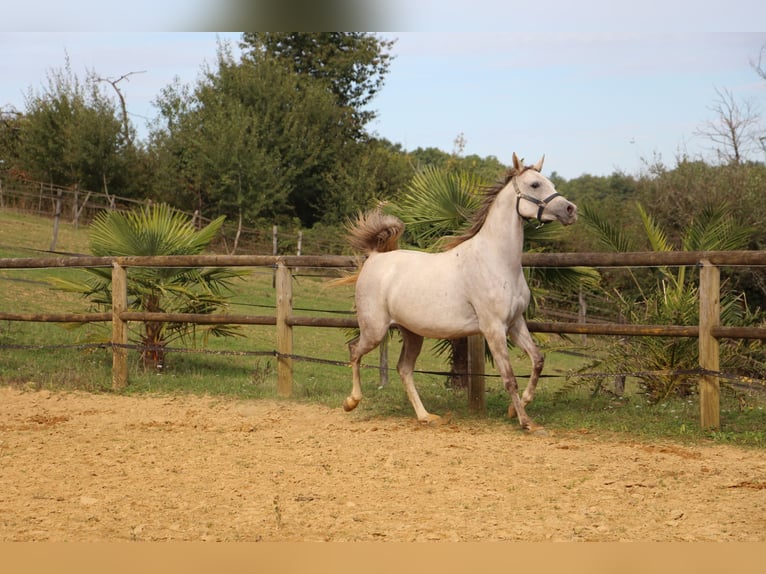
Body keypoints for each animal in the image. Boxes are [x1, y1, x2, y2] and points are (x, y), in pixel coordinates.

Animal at [346, 153, 576, 432]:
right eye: (534, 184)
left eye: (551, 182)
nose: (570, 210)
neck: (497, 261)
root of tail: (374, 257)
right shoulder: (493, 328)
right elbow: (509, 377)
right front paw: (525, 422)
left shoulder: (515, 323)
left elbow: (538, 360)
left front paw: (515, 410)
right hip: (375, 330)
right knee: (354, 351)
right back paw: (351, 401)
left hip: (412, 333)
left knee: (404, 369)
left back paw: (425, 416)